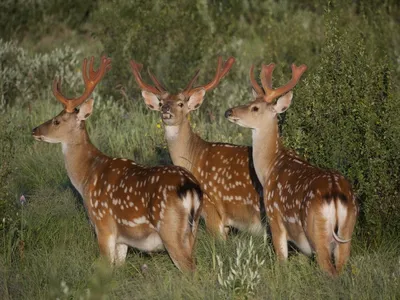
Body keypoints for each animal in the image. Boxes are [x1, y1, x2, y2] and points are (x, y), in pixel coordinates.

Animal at [31, 55, 203, 272]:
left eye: (56, 121)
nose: (34, 130)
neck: (86, 178)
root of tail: (191, 188)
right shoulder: (123, 239)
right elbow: (118, 268)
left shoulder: (103, 223)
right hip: (193, 230)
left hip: (170, 229)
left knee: (191, 269)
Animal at [225, 63, 360, 276]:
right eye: (250, 100)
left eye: (255, 107)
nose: (228, 112)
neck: (270, 168)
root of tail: (336, 194)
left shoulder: (274, 216)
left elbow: (281, 259)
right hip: (347, 228)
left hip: (316, 229)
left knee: (328, 268)